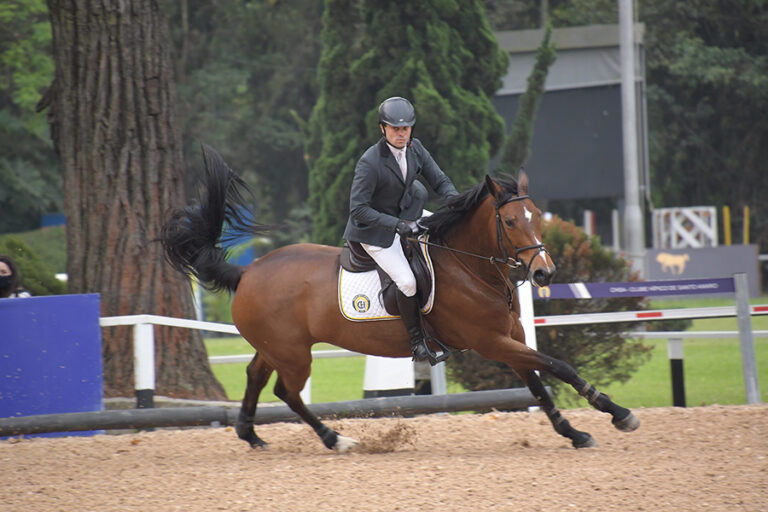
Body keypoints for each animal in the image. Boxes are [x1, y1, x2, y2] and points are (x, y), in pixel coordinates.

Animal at [159, 145, 640, 452]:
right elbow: (559, 367)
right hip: (293, 353)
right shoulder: (491, 343)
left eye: (536, 216)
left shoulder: (511, 341)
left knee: (256, 377)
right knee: (286, 391)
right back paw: (336, 439)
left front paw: (575, 433)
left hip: (275, 346)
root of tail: (249, 271)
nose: (544, 272)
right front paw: (616, 412)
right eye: (508, 221)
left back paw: (250, 434)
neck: (471, 268)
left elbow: (539, 386)